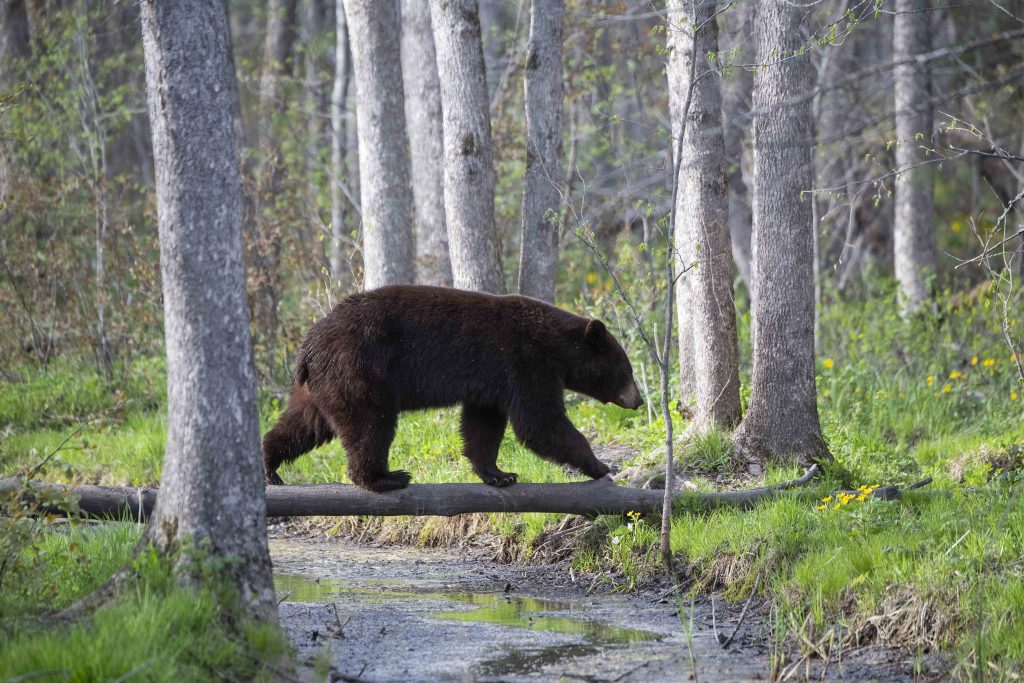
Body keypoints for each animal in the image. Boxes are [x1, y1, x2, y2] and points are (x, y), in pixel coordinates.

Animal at [264, 286, 638, 493]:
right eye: (627, 369)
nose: (637, 399)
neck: (556, 345)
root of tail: (308, 346)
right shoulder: (524, 360)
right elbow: (541, 421)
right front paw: (600, 465)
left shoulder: (493, 380)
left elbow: (483, 424)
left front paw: (499, 474)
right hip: (359, 370)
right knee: (370, 425)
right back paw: (385, 477)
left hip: (320, 386)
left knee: (304, 423)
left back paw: (269, 463)